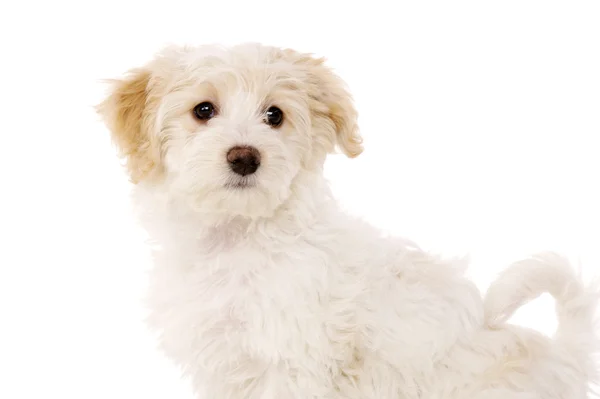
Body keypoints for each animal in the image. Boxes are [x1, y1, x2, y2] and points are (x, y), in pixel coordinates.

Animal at [96, 42, 596, 398]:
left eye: (274, 115)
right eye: (203, 110)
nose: (245, 157)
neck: (237, 238)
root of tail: (563, 358)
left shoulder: (291, 364)